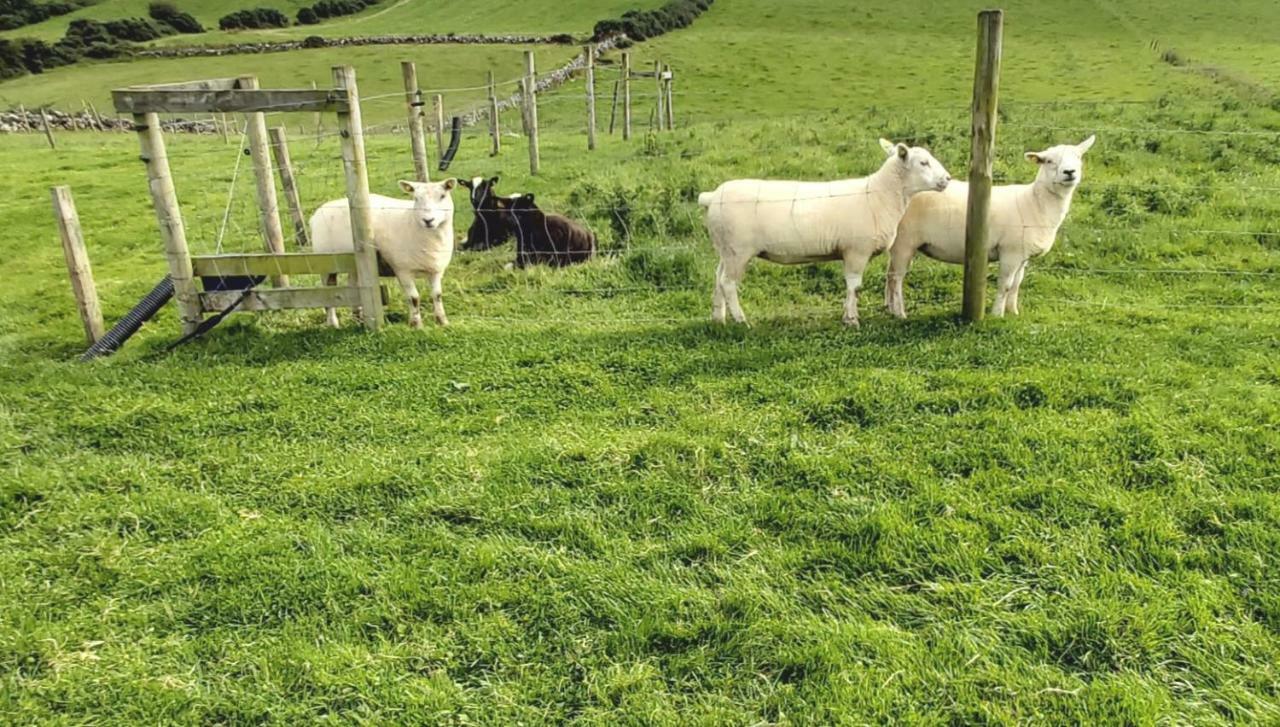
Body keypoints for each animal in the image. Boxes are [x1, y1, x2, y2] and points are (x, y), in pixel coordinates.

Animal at [308, 180, 458, 327]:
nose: (428, 220)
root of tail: (316, 214)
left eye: (443, 196)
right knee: (328, 292)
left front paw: (442, 321)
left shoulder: (436, 269)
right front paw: (416, 324)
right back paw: (333, 323)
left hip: (352, 261)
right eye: (416, 198)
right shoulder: (402, 269)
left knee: (353, 285)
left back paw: (358, 318)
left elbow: (437, 295)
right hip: (325, 261)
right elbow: (414, 298)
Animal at [701, 140, 952, 326]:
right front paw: (851, 320)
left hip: (726, 249)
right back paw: (741, 321)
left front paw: (848, 316)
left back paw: (718, 318)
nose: (948, 179)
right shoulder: (856, 250)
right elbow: (854, 286)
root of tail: (712, 196)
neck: (880, 195)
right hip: (739, 250)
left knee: (718, 278)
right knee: (728, 283)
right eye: (923, 162)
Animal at [885, 136, 1095, 317]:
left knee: (890, 274)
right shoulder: (1010, 252)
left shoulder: (1023, 256)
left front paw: (1013, 312)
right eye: (1048, 160)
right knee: (897, 278)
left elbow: (1017, 284)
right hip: (905, 241)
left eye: (1079, 157)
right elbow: (1006, 285)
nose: (1069, 172)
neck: (1035, 203)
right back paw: (900, 313)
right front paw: (997, 314)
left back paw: (889, 307)